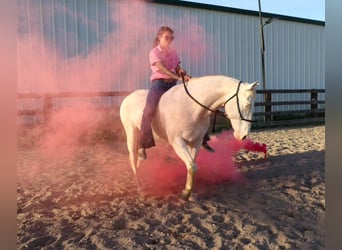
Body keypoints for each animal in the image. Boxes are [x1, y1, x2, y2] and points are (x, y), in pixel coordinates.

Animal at [119, 74, 258, 199]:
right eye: (247, 104)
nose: (244, 136)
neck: (191, 108)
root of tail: (128, 97)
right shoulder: (178, 142)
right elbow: (191, 166)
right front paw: (186, 193)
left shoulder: (195, 142)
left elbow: (192, 167)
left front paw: (190, 194)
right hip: (131, 132)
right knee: (132, 158)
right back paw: (140, 187)